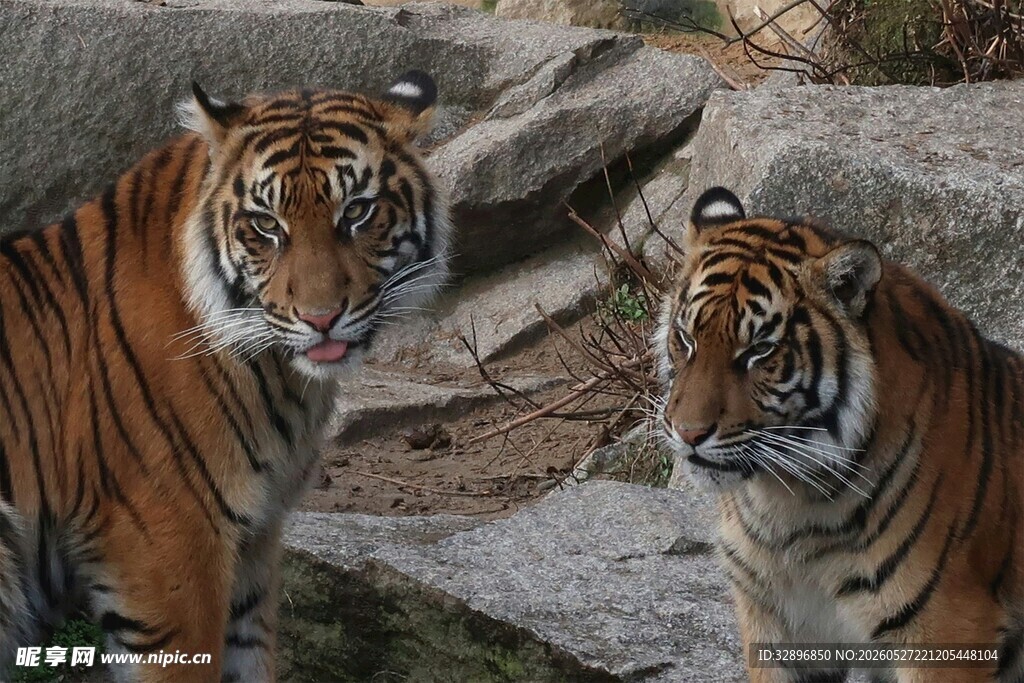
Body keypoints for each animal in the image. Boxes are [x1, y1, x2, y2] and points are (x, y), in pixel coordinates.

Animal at [0, 71, 451, 682]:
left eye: (357, 211)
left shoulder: (254, 540)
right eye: (266, 224)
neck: (282, 379)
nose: (320, 318)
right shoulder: (167, 548)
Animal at [655, 187, 1022, 682]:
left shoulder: (947, 630)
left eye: (759, 350)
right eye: (686, 337)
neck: (789, 509)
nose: (688, 433)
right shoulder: (778, 624)